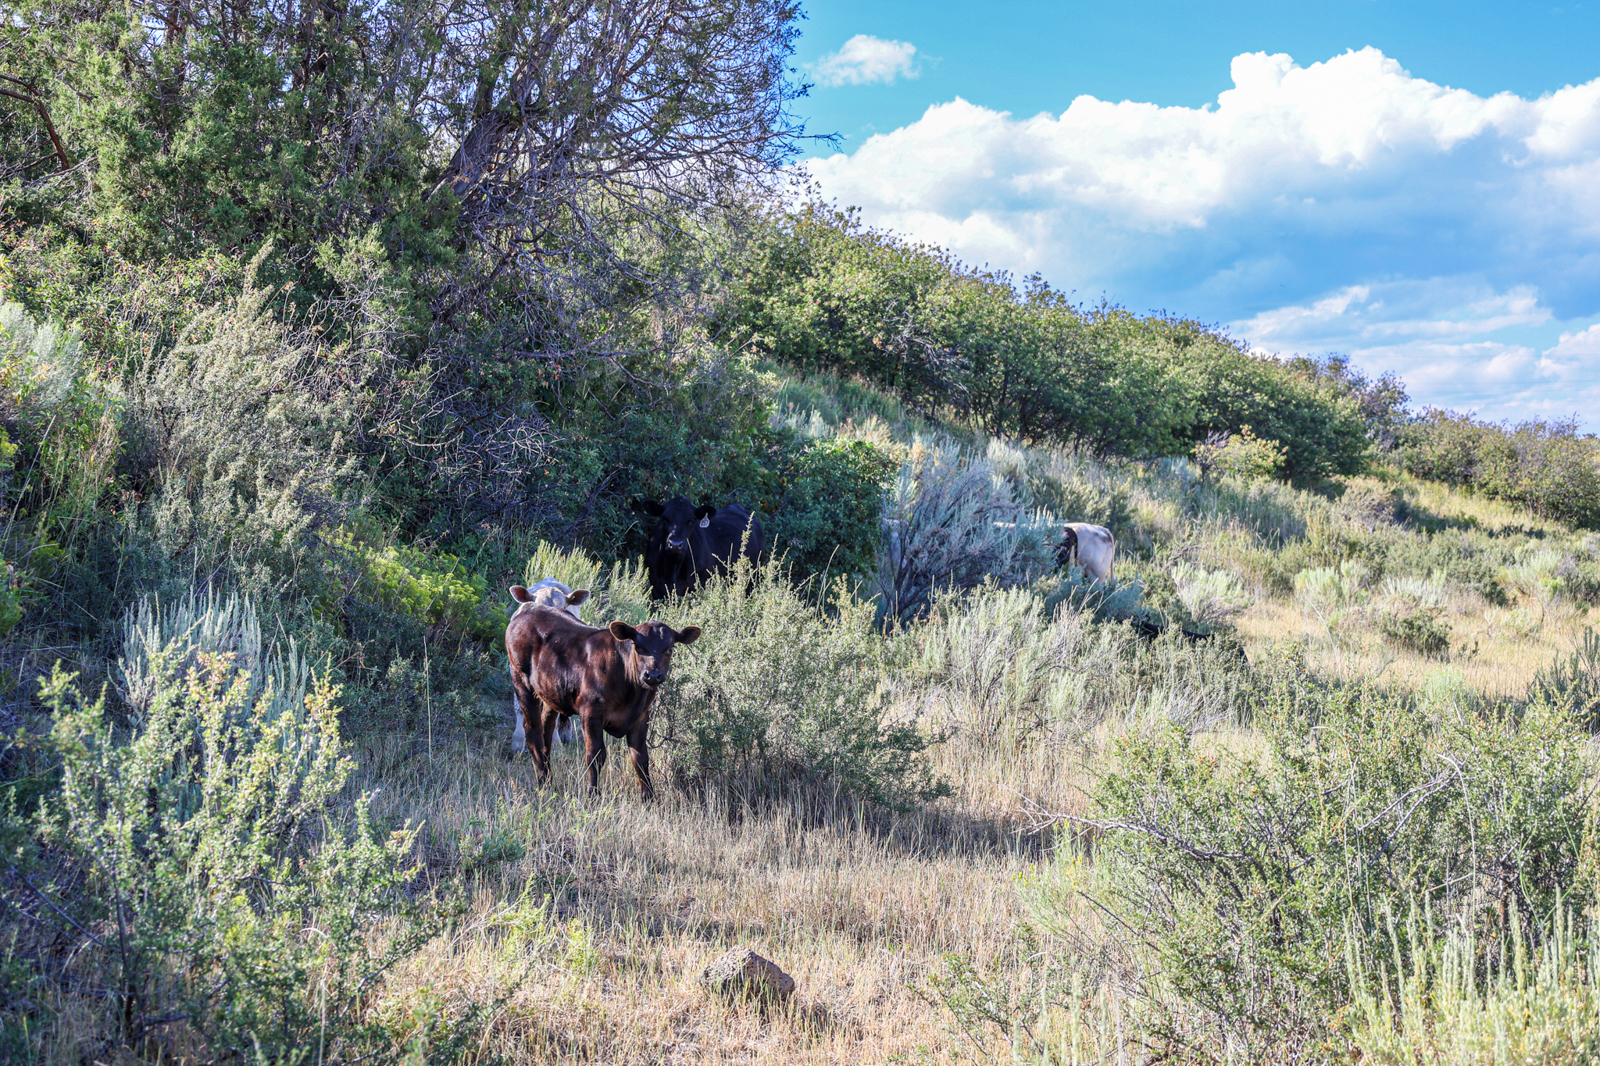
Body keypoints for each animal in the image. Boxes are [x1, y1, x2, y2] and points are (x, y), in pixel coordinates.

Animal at [506, 603, 700, 799]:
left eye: (670, 648)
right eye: (638, 646)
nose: (652, 675)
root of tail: (529, 607)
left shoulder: (641, 716)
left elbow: (640, 757)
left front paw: (649, 797)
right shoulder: (590, 713)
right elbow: (596, 755)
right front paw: (593, 793)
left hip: (550, 692)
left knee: (547, 729)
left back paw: (548, 777)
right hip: (521, 681)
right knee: (533, 731)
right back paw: (543, 781)